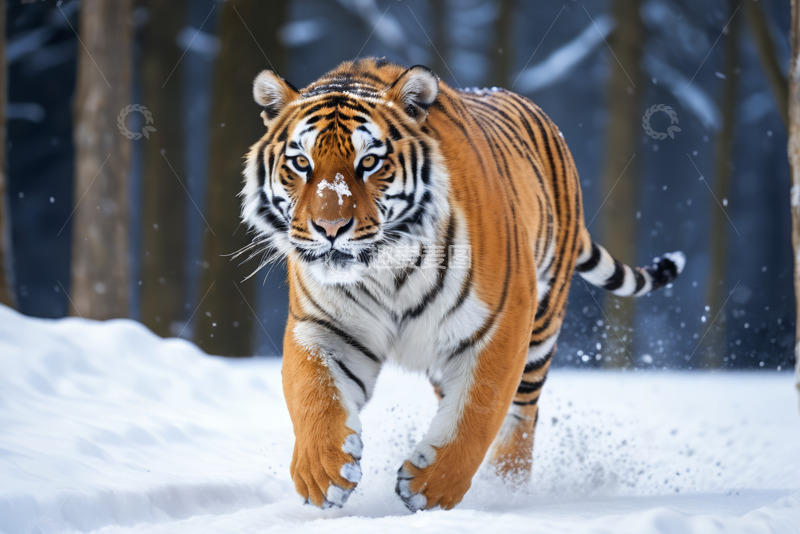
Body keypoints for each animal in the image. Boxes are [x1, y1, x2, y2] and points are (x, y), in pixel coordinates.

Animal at [239, 57, 684, 511]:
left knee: (523, 413)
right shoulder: (323, 327)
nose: (330, 228)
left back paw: (507, 488)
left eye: (370, 163)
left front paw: (430, 487)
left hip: (540, 328)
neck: (387, 268)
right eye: (301, 164)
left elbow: (478, 410)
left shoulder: (502, 322)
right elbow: (313, 393)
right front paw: (323, 472)